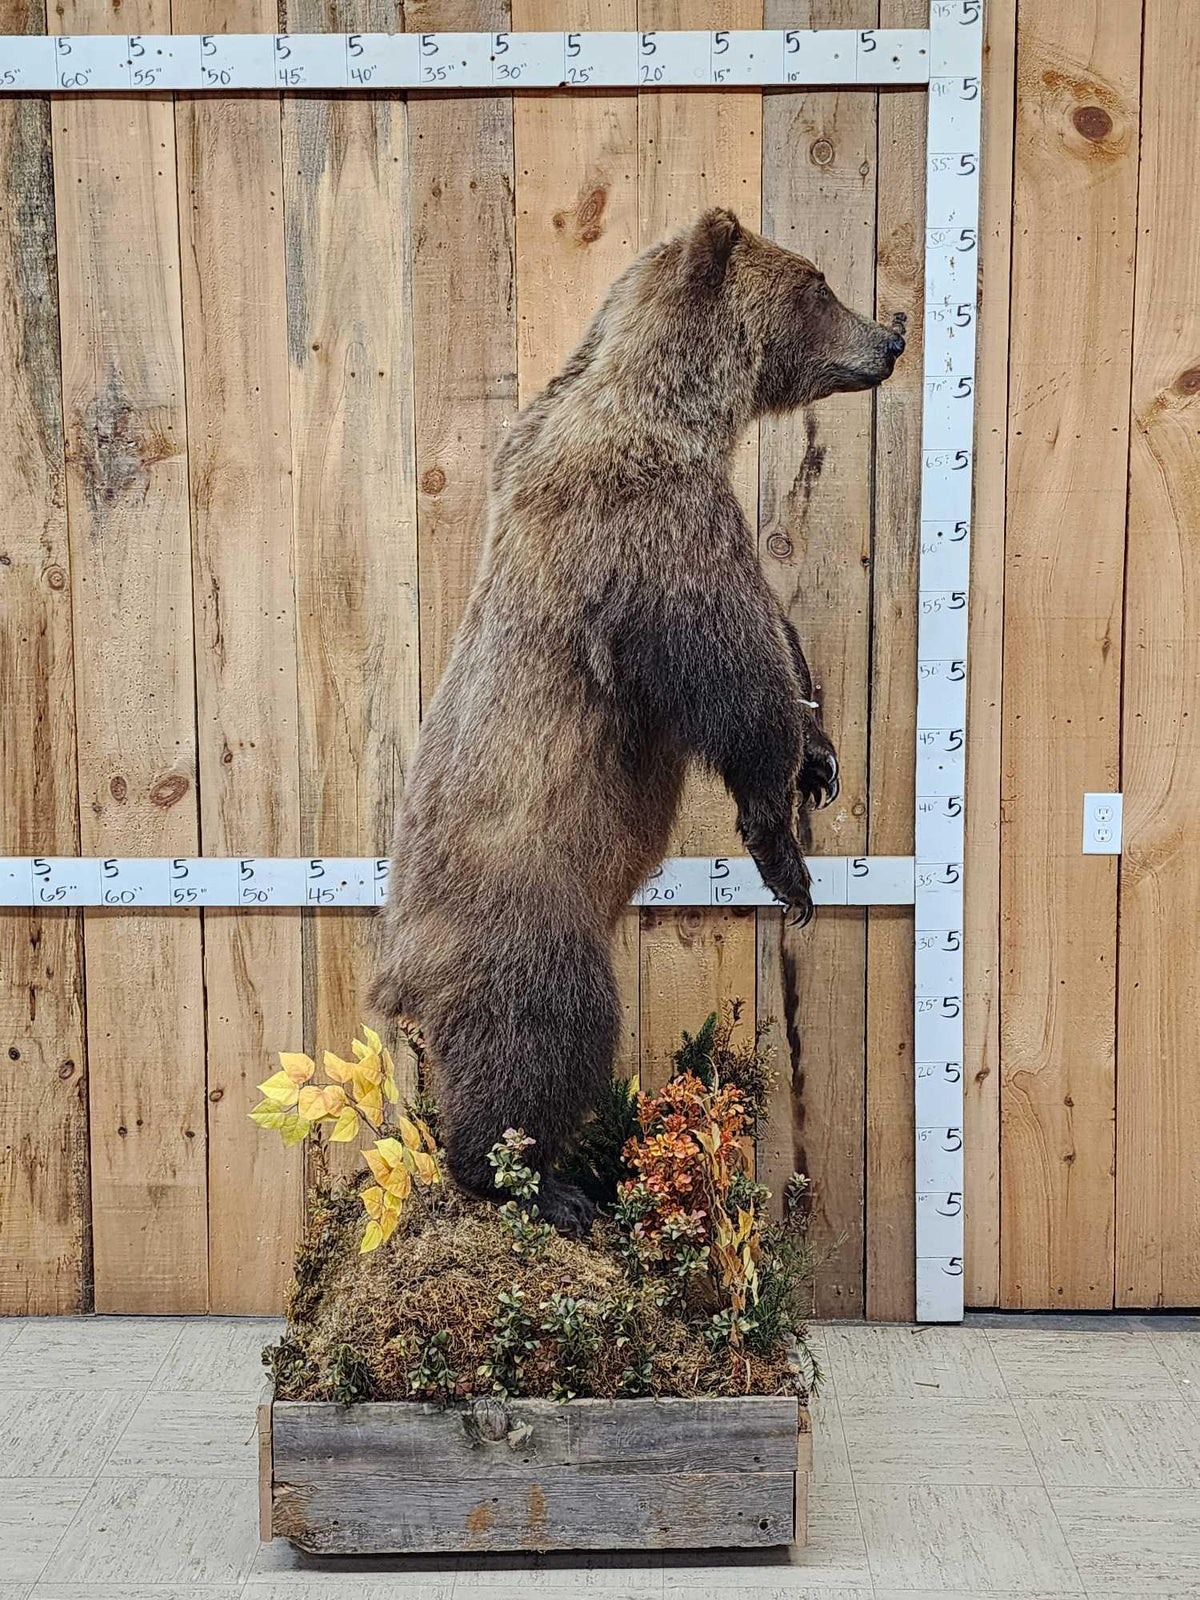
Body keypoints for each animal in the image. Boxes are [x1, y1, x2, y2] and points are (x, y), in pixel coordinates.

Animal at [371, 208, 904, 1234]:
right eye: (818, 284)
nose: (893, 335)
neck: (680, 411)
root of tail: (399, 967)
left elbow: (775, 633)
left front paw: (820, 757)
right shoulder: (647, 531)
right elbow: (732, 670)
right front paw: (785, 853)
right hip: (530, 917)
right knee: (543, 1035)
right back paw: (540, 1183)